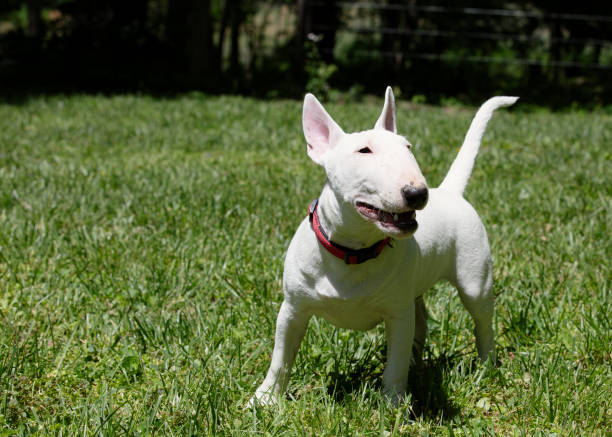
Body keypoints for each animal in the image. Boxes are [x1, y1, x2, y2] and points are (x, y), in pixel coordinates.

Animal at [252, 87, 516, 404]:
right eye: (364, 150)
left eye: (408, 147)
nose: (418, 193)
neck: (353, 251)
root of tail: (450, 191)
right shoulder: (292, 309)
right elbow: (280, 357)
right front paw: (264, 398)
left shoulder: (398, 313)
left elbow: (395, 364)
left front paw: (393, 404)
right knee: (421, 319)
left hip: (475, 281)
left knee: (481, 323)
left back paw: (487, 366)